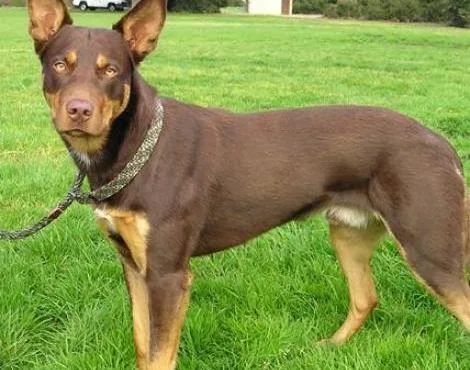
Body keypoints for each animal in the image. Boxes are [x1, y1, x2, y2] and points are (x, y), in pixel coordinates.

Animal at [26, 0, 470, 368]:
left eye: (111, 70)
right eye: (60, 65)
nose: (78, 110)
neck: (135, 148)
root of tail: (443, 144)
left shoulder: (169, 274)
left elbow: (159, 356)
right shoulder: (134, 265)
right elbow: (141, 346)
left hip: (429, 249)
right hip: (349, 232)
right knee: (365, 298)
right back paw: (330, 347)